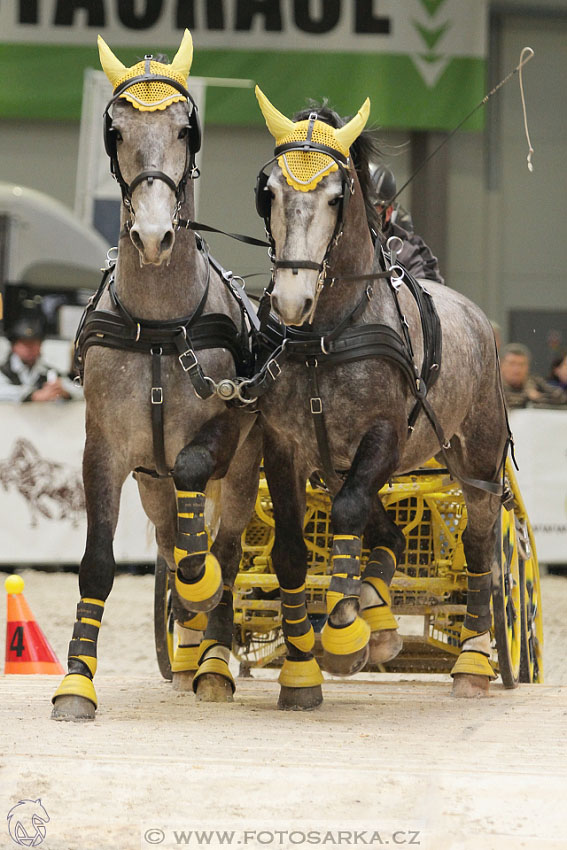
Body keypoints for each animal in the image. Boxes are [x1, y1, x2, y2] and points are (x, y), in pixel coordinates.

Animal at [254, 88, 510, 708]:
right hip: (345, 464)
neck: (325, 334)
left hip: (476, 461)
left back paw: (472, 662)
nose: (292, 300)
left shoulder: (384, 436)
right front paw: (303, 671)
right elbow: (291, 551)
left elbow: (346, 513)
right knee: (388, 532)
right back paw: (385, 624)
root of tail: (478, 318)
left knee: (479, 550)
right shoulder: (286, 446)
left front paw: (345, 630)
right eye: (268, 190)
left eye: (335, 196)